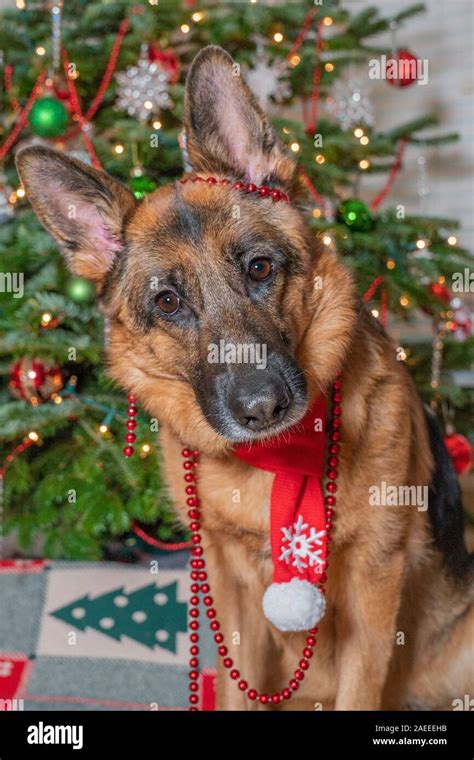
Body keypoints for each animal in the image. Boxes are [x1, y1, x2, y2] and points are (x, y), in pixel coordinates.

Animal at [16, 46, 472, 712]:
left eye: (259, 268)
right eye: (169, 302)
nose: (262, 408)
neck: (273, 463)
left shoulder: (374, 583)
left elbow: (360, 689)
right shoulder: (229, 587)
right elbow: (235, 689)